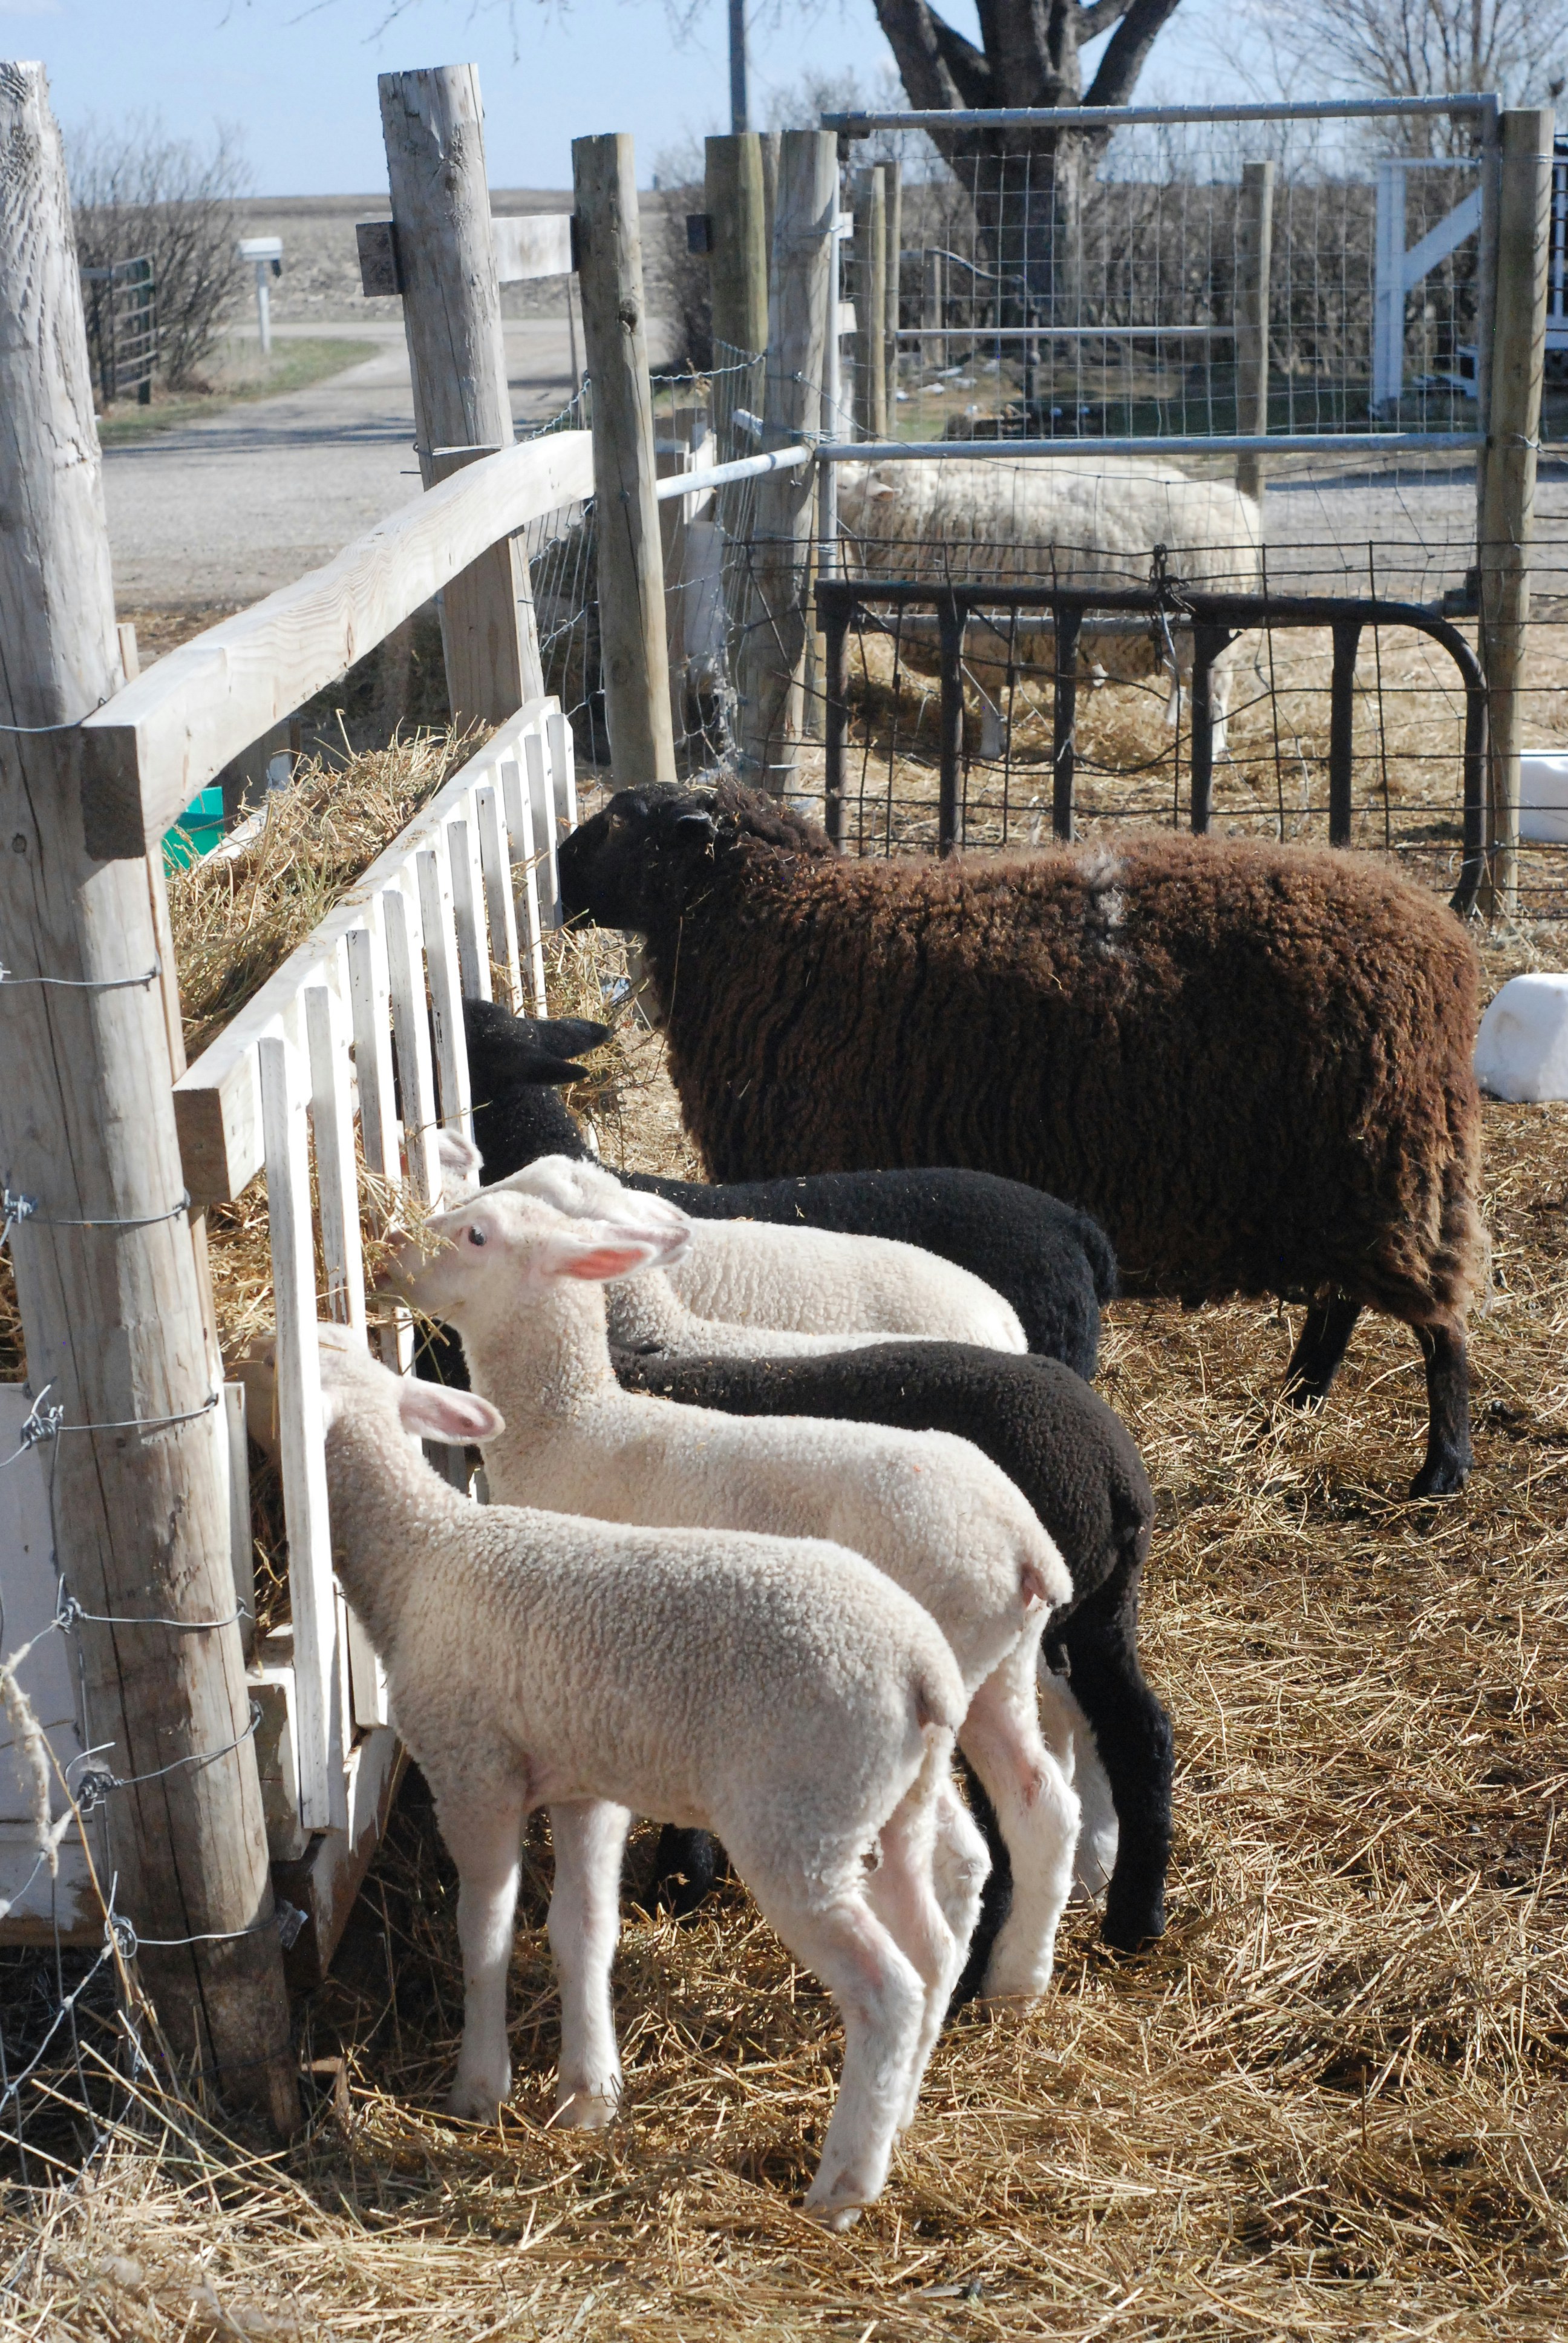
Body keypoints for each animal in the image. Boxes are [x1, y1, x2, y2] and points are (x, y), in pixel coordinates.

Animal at [300, 1324, 985, 2227]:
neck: (420, 1555)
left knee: (887, 1990)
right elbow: (583, 1930)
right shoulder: (583, 1782)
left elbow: (483, 1929)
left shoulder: (472, 1769)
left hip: (800, 1820)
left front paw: (480, 2089)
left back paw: (840, 2187)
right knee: (933, 1947)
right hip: (893, 1799)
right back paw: (898, 2117)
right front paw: (588, 2095)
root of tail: (923, 1670)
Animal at [390, 1188, 1083, 2003]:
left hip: (935, 1667)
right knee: (1041, 1806)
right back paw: (1017, 1981)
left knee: (960, 1845)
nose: (391, 1256)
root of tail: (1027, 1546)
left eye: (476, 1233)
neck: (572, 1424)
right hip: (1001, 1663)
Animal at [558, 785, 1487, 1498]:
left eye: (621, 818)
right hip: (1337, 1180)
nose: (557, 880)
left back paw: (1440, 1470)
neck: (772, 922)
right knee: (1342, 1302)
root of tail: (1441, 942)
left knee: (1437, 1326)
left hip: (1389, 1161)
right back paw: (1296, 1402)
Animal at [836, 454, 1263, 754]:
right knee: (1185, 680)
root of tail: (1240, 507)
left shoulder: (983, 638)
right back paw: (1173, 722)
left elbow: (989, 699)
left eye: (841, 487)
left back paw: (1215, 747)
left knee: (1218, 695)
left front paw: (990, 749)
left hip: (1206, 632)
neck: (920, 515)